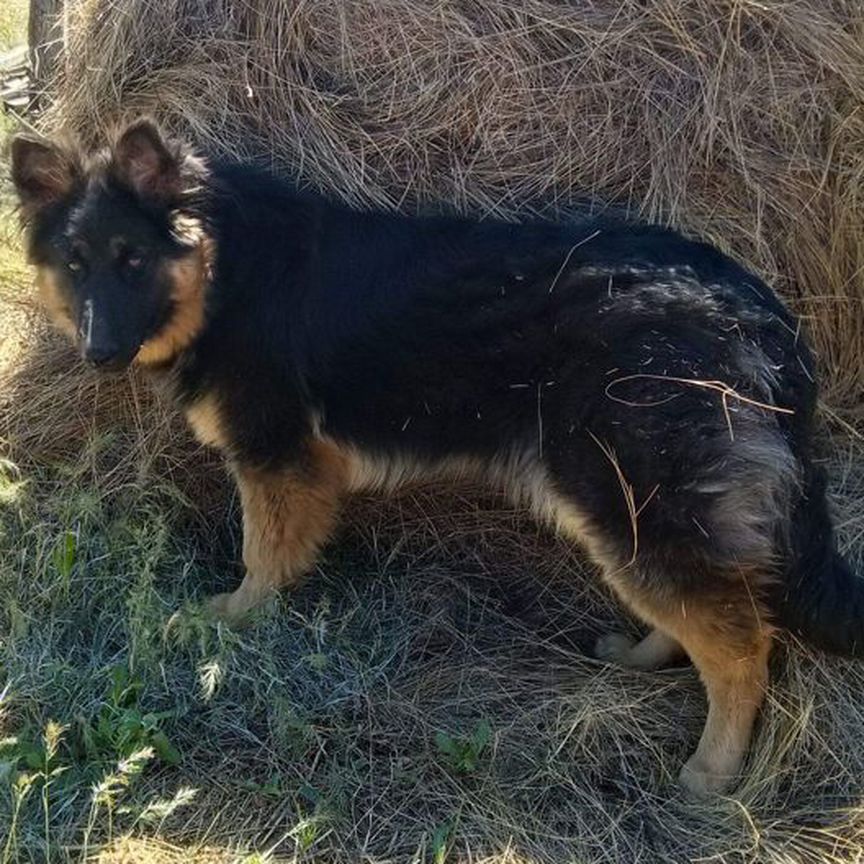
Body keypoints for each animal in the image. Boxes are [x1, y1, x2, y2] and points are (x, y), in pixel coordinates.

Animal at [10, 120, 860, 796]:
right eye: (76, 262)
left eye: (132, 259)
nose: (97, 353)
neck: (225, 264)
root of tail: (753, 305)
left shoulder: (276, 459)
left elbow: (263, 555)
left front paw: (234, 621)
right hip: (627, 505)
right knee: (697, 603)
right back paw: (647, 655)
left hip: (628, 491)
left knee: (742, 642)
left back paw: (714, 771)